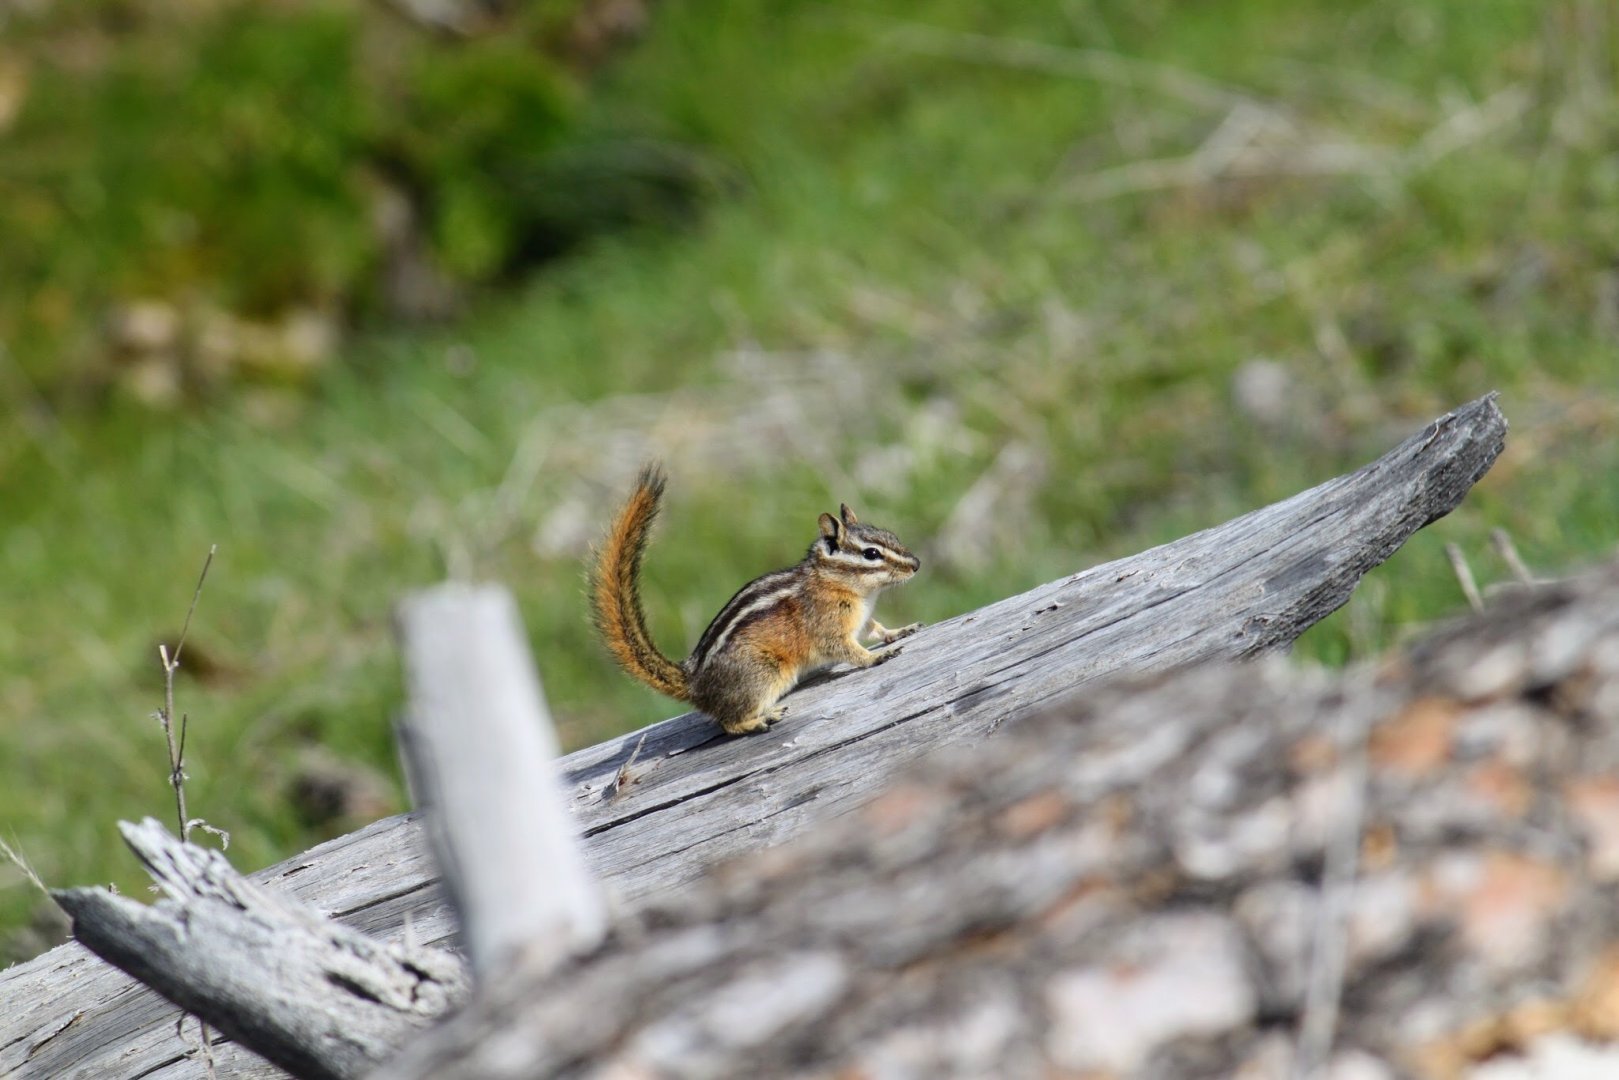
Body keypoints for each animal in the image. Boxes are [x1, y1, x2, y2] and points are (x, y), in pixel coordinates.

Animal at [592, 464, 922, 735]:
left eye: (890, 535)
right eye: (871, 554)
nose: (916, 563)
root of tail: (693, 681)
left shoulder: (861, 619)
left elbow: (876, 628)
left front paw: (899, 631)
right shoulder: (827, 626)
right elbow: (847, 650)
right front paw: (875, 657)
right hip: (763, 675)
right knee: (728, 723)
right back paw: (761, 719)